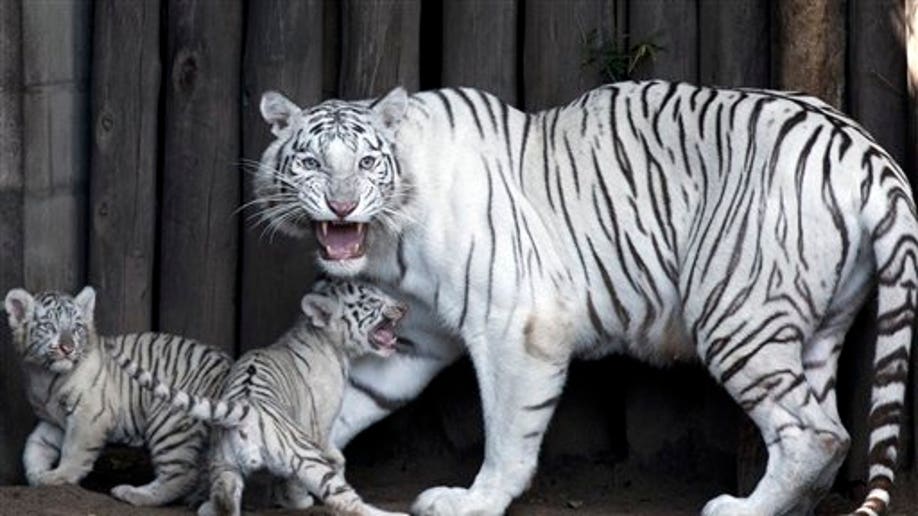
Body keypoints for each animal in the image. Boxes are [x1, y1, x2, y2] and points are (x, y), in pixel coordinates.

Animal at [3, 288, 232, 506]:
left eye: (76, 328)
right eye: (49, 326)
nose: (67, 349)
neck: (43, 374)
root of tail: (228, 368)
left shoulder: (90, 414)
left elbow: (73, 450)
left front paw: (57, 477)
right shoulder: (54, 419)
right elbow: (35, 444)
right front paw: (35, 474)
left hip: (169, 421)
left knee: (181, 475)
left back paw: (131, 493)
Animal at [110, 280, 406, 516]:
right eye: (372, 301)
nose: (402, 308)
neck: (330, 342)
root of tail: (244, 407)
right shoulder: (319, 424)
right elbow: (328, 458)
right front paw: (299, 501)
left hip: (224, 466)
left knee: (225, 502)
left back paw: (205, 507)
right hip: (303, 455)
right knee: (345, 499)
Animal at [253, 81, 918, 516]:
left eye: (368, 162)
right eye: (310, 162)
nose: (341, 205)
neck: (387, 240)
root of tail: (867, 150)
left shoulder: (518, 320)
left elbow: (508, 427)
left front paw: (475, 500)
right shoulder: (414, 337)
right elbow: (349, 404)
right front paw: (301, 470)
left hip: (737, 314)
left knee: (815, 434)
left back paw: (742, 510)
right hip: (820, 324)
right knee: (832, 428)